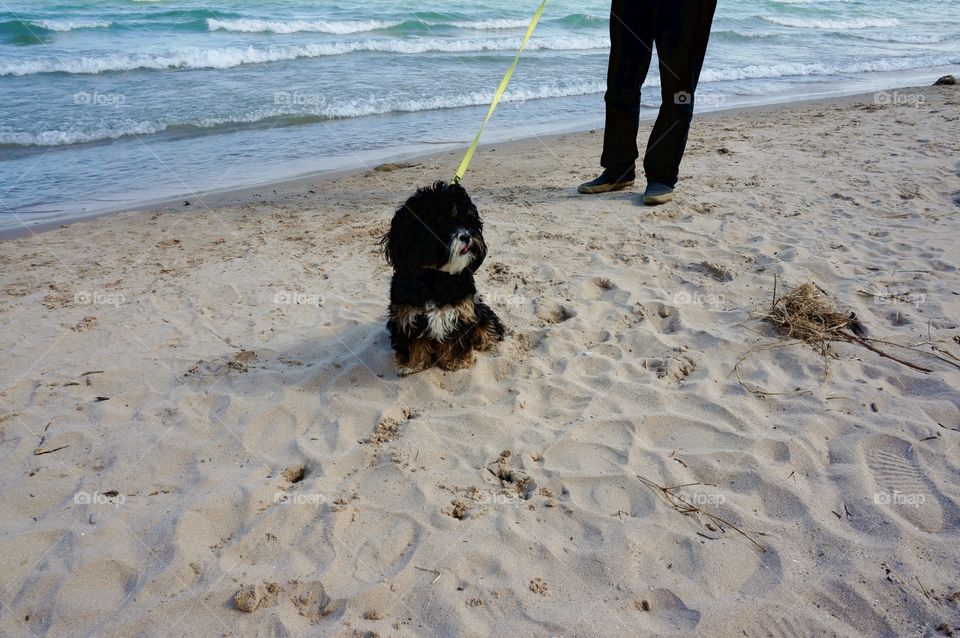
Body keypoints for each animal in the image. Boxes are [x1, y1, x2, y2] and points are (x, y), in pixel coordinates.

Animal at [380, 181, 506, 376]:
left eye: (470, 221)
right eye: (443, 223)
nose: (467, 236)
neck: (436, 275)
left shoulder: (461, 312)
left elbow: (454, 339)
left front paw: (455, 361)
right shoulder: (406, 314)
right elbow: (413, 342)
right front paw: (411, 364)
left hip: (481, 310)